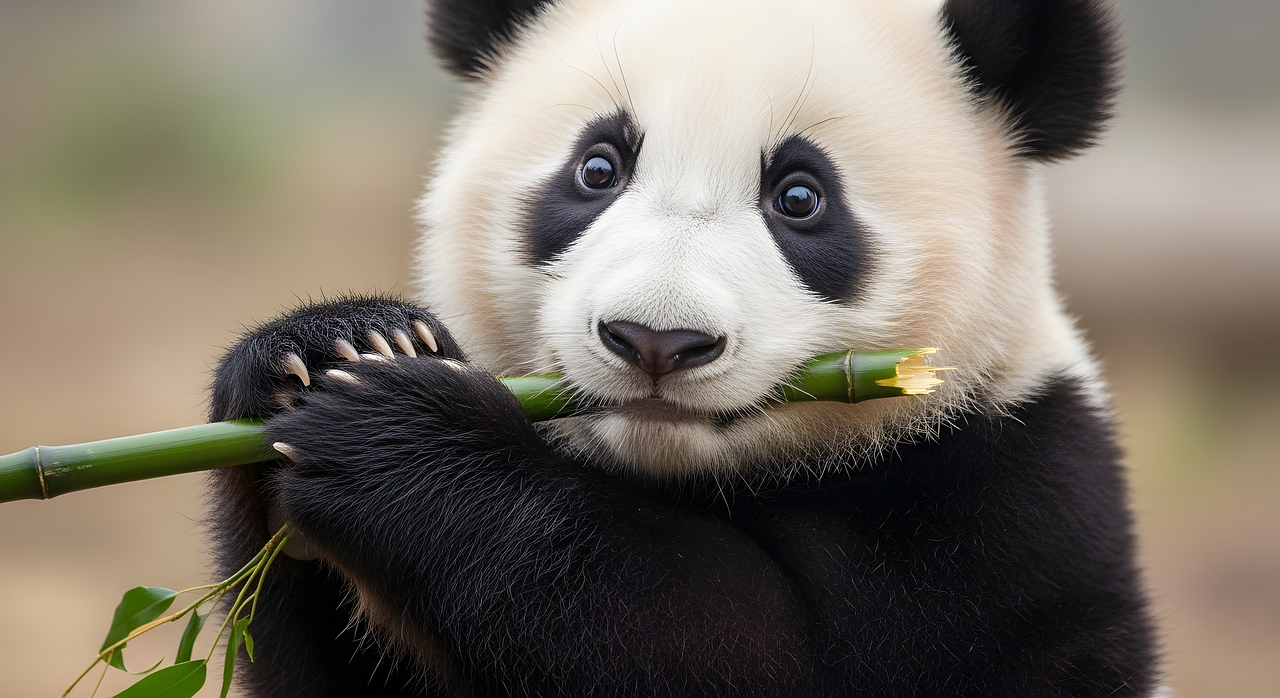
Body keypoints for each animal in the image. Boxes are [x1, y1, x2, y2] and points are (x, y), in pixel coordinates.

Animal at [208, 0, 1160, 695]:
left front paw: (395, 438)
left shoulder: (1002, 512)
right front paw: (327, 347)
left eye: (800, 197)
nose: (656, 340)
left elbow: (736, 654)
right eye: (597, 169)